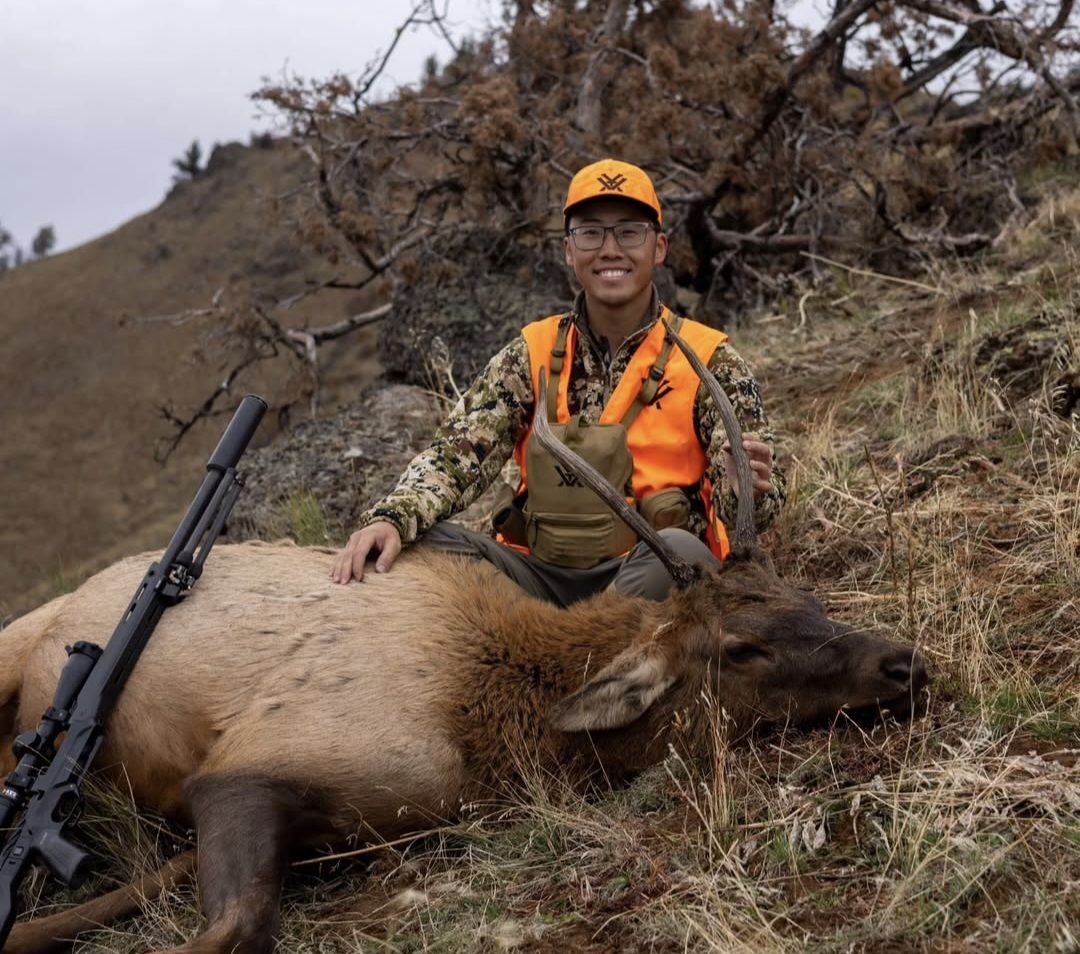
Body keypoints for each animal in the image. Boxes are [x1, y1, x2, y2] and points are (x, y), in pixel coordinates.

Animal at [0, 325, 928, 954]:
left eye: (805, 597)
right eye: (738, 649)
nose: (903, 661)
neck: (492, 713)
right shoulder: (248, 766)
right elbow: (231, 927)